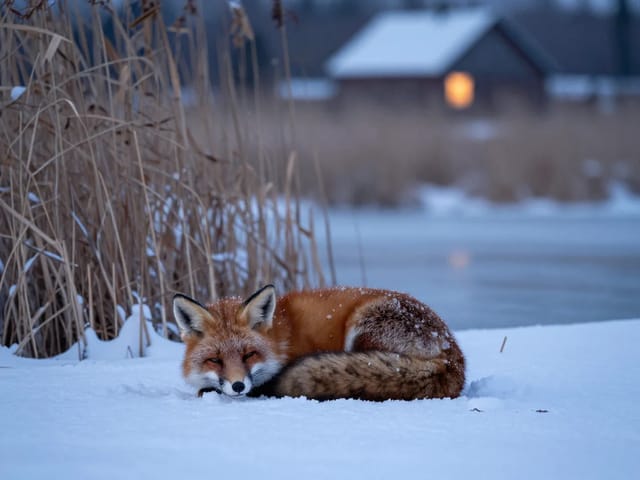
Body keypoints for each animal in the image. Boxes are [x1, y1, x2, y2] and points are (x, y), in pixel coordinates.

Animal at [173, 285, 465, 401]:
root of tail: (453, 356)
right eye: (215, 360)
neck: (281, 338)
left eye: (249, 355)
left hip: (363, 328)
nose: (237, 386)